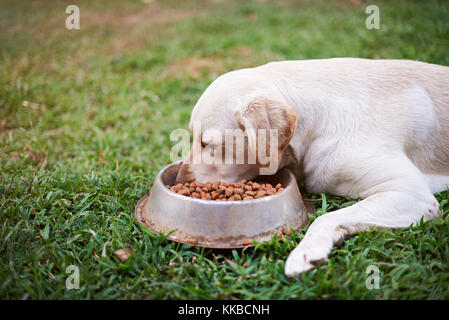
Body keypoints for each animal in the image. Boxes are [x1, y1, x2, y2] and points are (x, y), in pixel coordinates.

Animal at [174, 58, 448, 278]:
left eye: (207, 143)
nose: (179, 181)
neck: (318, 124)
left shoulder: (411, 193)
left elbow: (326, 217)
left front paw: (306, 251)